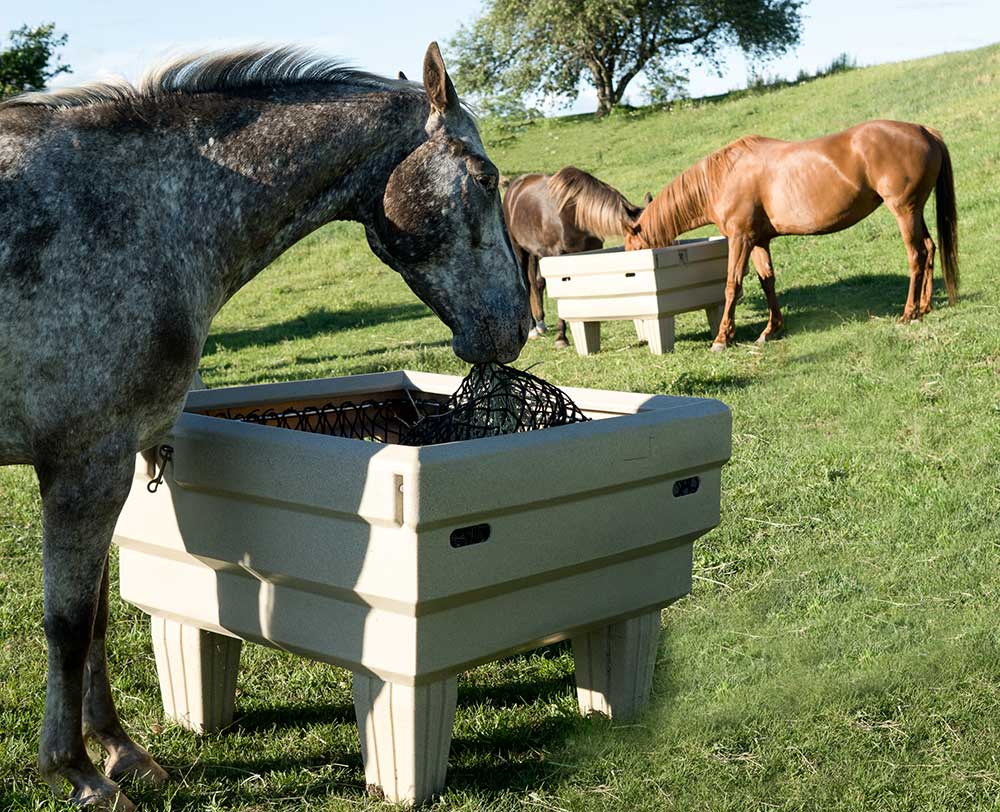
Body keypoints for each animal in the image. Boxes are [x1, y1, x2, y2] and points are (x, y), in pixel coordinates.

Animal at [0, 41, 532, 808]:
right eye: (487, 179)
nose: (520, 322)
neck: (137, 210)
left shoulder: (104, 465)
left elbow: (95, 618)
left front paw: (121, 751)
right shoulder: (85, 465)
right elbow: (69, 626)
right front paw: (79, 772)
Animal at [500, 167, 648, 348]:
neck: (575, 213)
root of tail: (514, 187)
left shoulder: (591, 252)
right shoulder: (559, 257)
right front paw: (561, 338)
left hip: (538, 253)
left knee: (538, 283)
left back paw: (541, 324)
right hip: (520, 250)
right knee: (527, 284)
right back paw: (532, 329)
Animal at [624, 119, 960, 348]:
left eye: (633, 253)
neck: (724, 177)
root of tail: (924, 131)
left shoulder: (740, 239)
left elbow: (732, 285)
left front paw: (722, 338)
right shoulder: (759, 241)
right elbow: (767, 281)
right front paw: (771, 329)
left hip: (903, 211)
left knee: (916, 255)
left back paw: (909, 313)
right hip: (915, 211)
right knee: (929, 248)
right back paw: (925, 306)